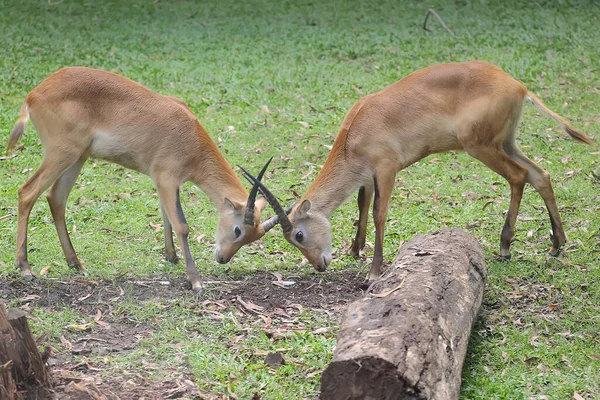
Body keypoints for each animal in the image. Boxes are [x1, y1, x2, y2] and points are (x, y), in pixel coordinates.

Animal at [5, 65, 282, 290]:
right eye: (237, 229)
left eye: (255, 236)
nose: (223, 258)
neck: (190, 136)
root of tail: (34, 94)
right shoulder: (167, 178)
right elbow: (182, 225)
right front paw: (196, 281)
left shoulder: (165, 182)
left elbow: (166, 217)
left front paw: (172, 257)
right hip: (61, 154)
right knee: (27, 192)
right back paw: (25, 267)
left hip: (78, 158)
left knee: (56, 198)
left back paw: (76, 263)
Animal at [241, 61, 592, 282]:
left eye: (298, 235)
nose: (319, 265)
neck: (355, 132)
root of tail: (518, 85)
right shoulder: (367, 177)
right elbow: (362, 206)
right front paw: (355, 250)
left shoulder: (387, 169)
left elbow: (379, 213)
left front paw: (374, 270)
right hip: (506, 142)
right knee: (540, 174)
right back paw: (556, 243)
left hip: (480, 146)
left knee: (519, 176)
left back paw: (505, 247)